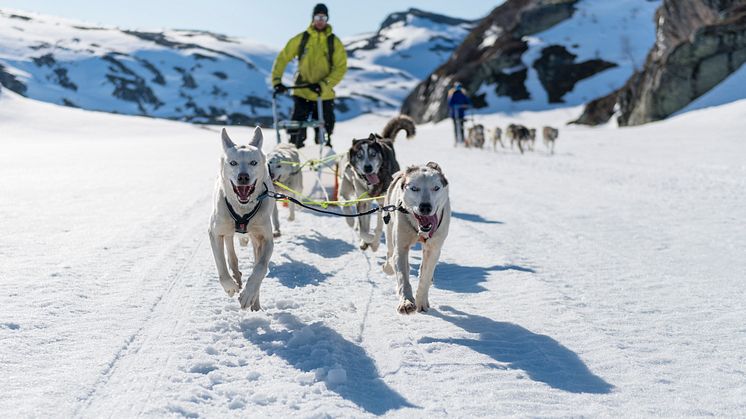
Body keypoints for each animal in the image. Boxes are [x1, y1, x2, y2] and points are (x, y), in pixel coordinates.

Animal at [209, 128, 274, 312]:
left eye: (253, 162)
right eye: (233, 163)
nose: (243, 177)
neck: (242, 209)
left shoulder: (266, 238)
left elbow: (260, 268)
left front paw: (248, 295)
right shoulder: (215, 232)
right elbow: (221, 266)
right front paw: (230, 286)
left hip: (256, 240)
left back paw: (254, 301)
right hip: (227, 230)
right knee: (232, 256)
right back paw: (236, 278)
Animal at [338, 115, 412, 251]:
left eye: (373, 154)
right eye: (359, 155)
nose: (368, 167)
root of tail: (383, 139)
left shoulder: (383, 204)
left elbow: (378, 227)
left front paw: (375, 244)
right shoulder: (362, 202)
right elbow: (363, 229)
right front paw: (367, 239)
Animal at [384, 162, 448, 314]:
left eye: (436, 188)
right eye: (414, 188)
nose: (425, 207)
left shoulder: (433, 250)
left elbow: (425, 277)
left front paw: (421, 302)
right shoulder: (401, 248)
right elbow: (403, 277)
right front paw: (406, 302)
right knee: (390, 253)